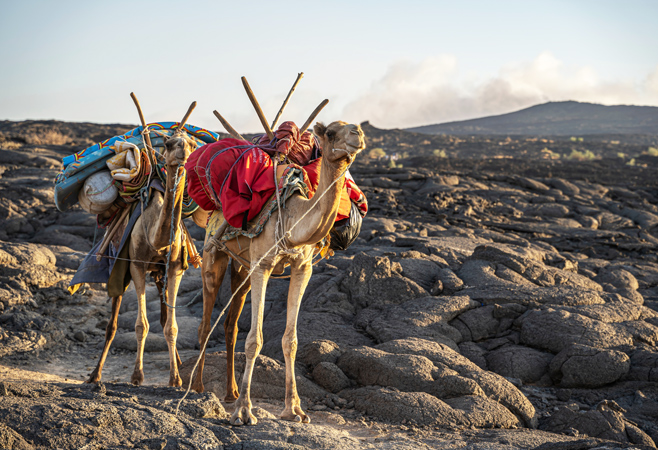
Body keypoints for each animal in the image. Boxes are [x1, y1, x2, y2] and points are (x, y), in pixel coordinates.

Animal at [87, 99, 198, 387]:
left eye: (192, 143)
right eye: (169, 143)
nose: (183, 150)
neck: (157, 238)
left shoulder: (175, 268)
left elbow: (171, 326)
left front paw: (176, 378)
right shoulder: (136, 264)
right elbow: (140, 325)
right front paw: (137, 375)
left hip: (159, 274)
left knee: (163, 317)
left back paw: (179, 364)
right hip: (120, 265)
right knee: (112, 322)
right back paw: (95, 375)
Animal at [192, 119, 365, 426]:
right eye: (331, 132)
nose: (358, 133)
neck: (294, 219)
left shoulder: (302, 268)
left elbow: (290, 340)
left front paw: (294, 409)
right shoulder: (262, 264)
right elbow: (255, 339)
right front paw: (244, 411)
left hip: (242, 267)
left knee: (230, 325)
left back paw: (230, 392)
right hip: (214, 255)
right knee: (205, 320)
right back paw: (197, 388)